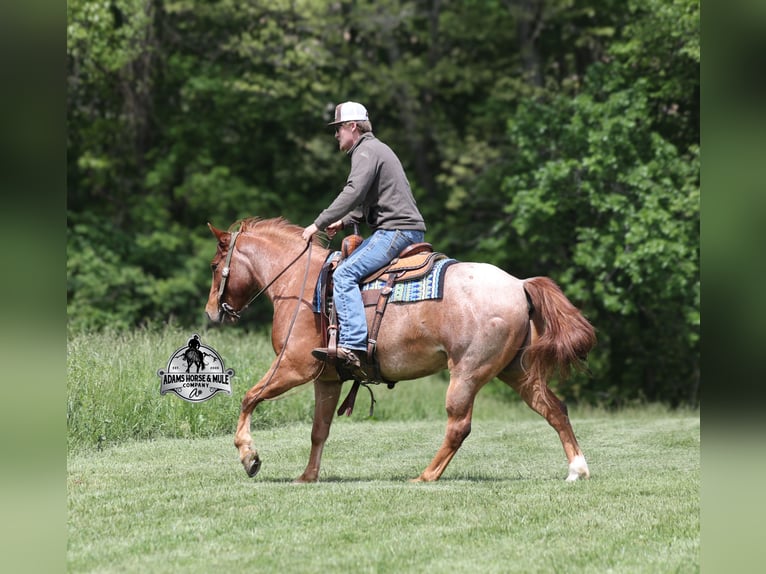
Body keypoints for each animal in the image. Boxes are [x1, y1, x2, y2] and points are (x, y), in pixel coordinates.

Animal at [204, 217, 596, 483]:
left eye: (213, 266)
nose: (211, 312)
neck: (300, 283)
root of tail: (519, 284)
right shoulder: (326, 378)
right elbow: (319, 430)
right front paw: (308, 476)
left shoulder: (292, 366)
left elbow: (249, 398)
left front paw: (250, 457)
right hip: (517, 371)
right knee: (554, 409)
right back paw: (577, 469)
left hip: (468, 372)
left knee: (459, 426)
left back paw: (426, 475)